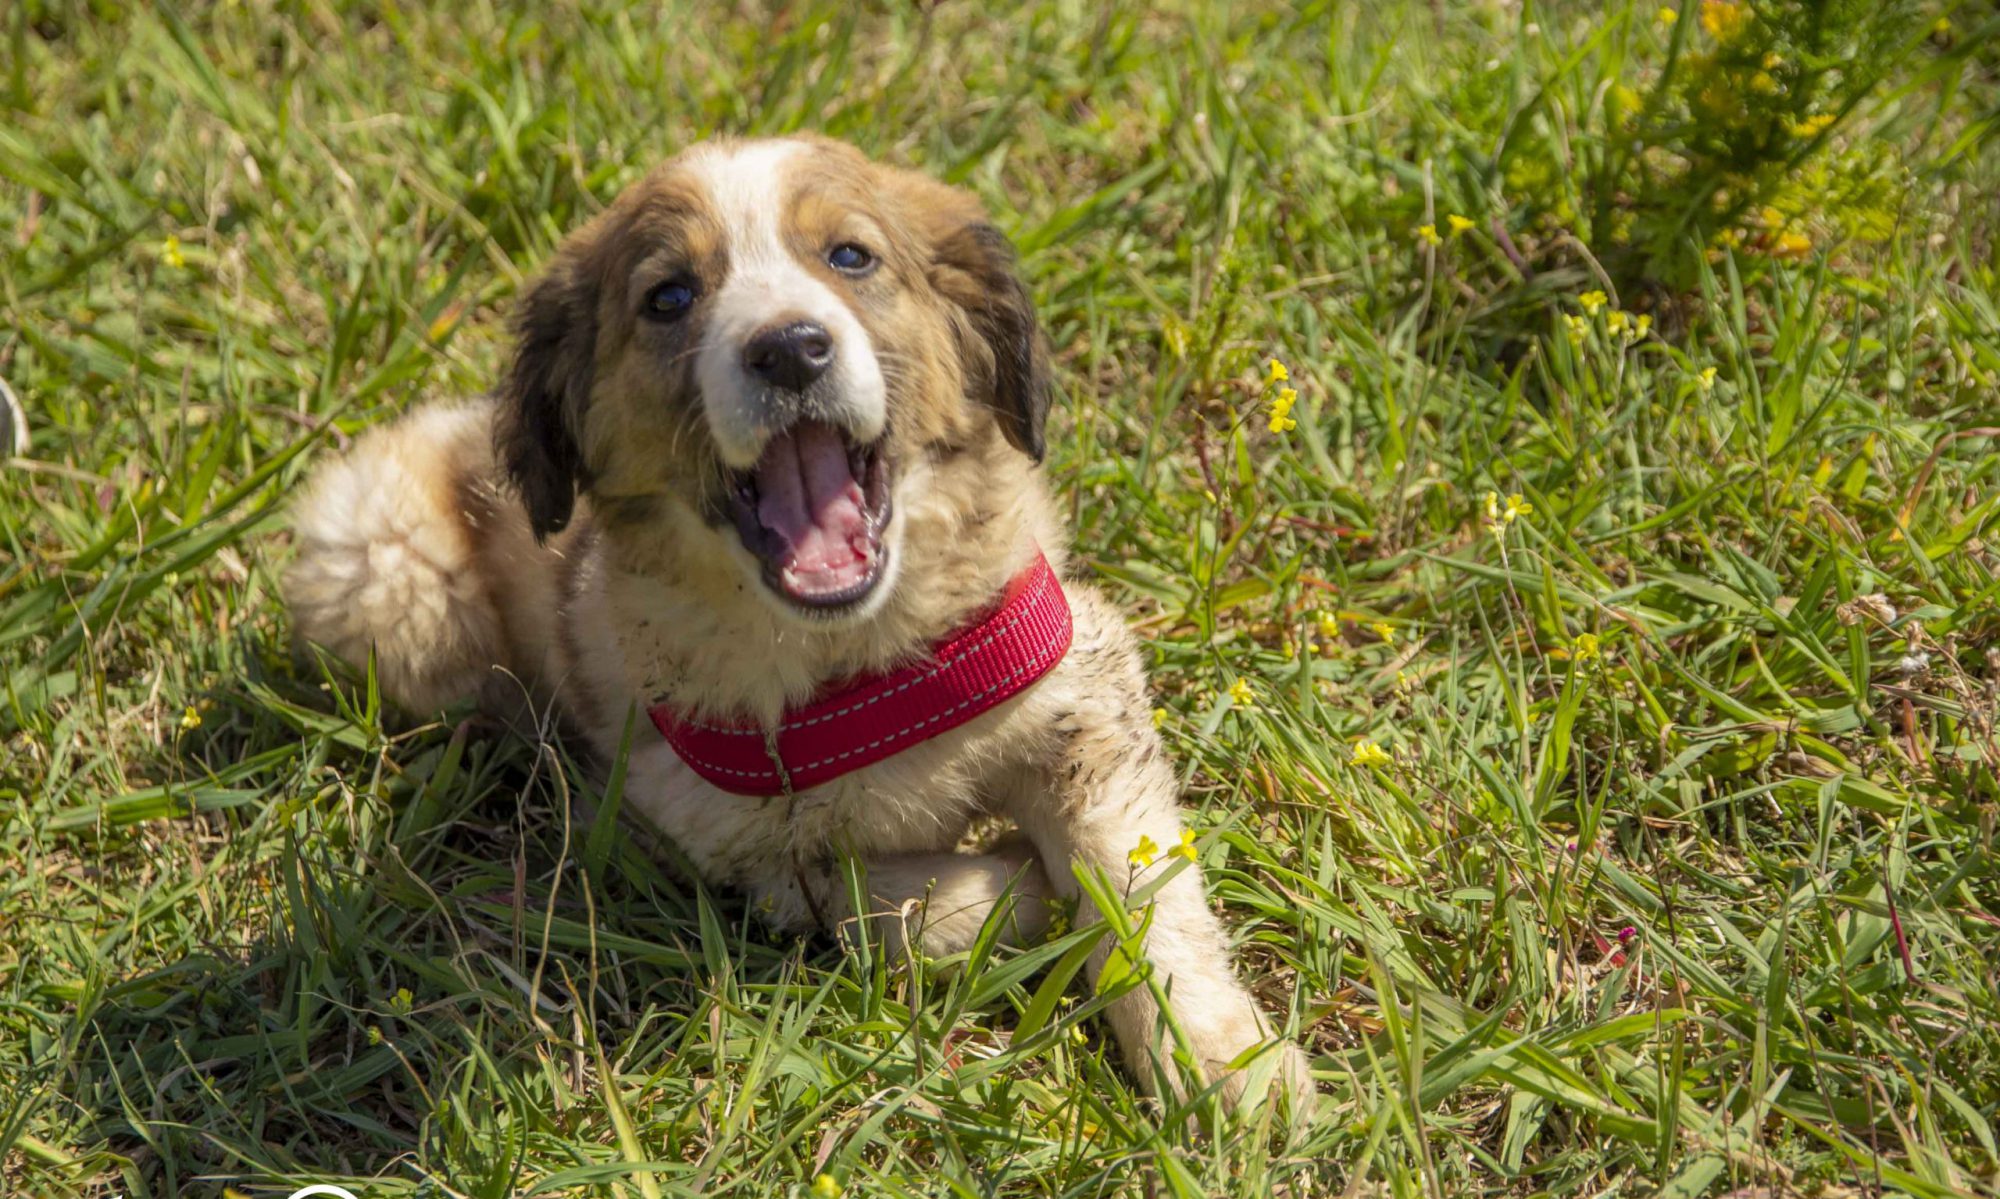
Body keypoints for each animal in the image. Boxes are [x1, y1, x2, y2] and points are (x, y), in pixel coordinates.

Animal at [282, 133, 1312, 1111]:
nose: (789, 349)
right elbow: (862, 894)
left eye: (851, 255)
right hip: (380, 579)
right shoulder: (695, 819)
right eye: (668, 296)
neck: (860, 656)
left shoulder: (1084, 693)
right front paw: (1010, 888)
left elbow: (1141, 884)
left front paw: (1225, 1066)